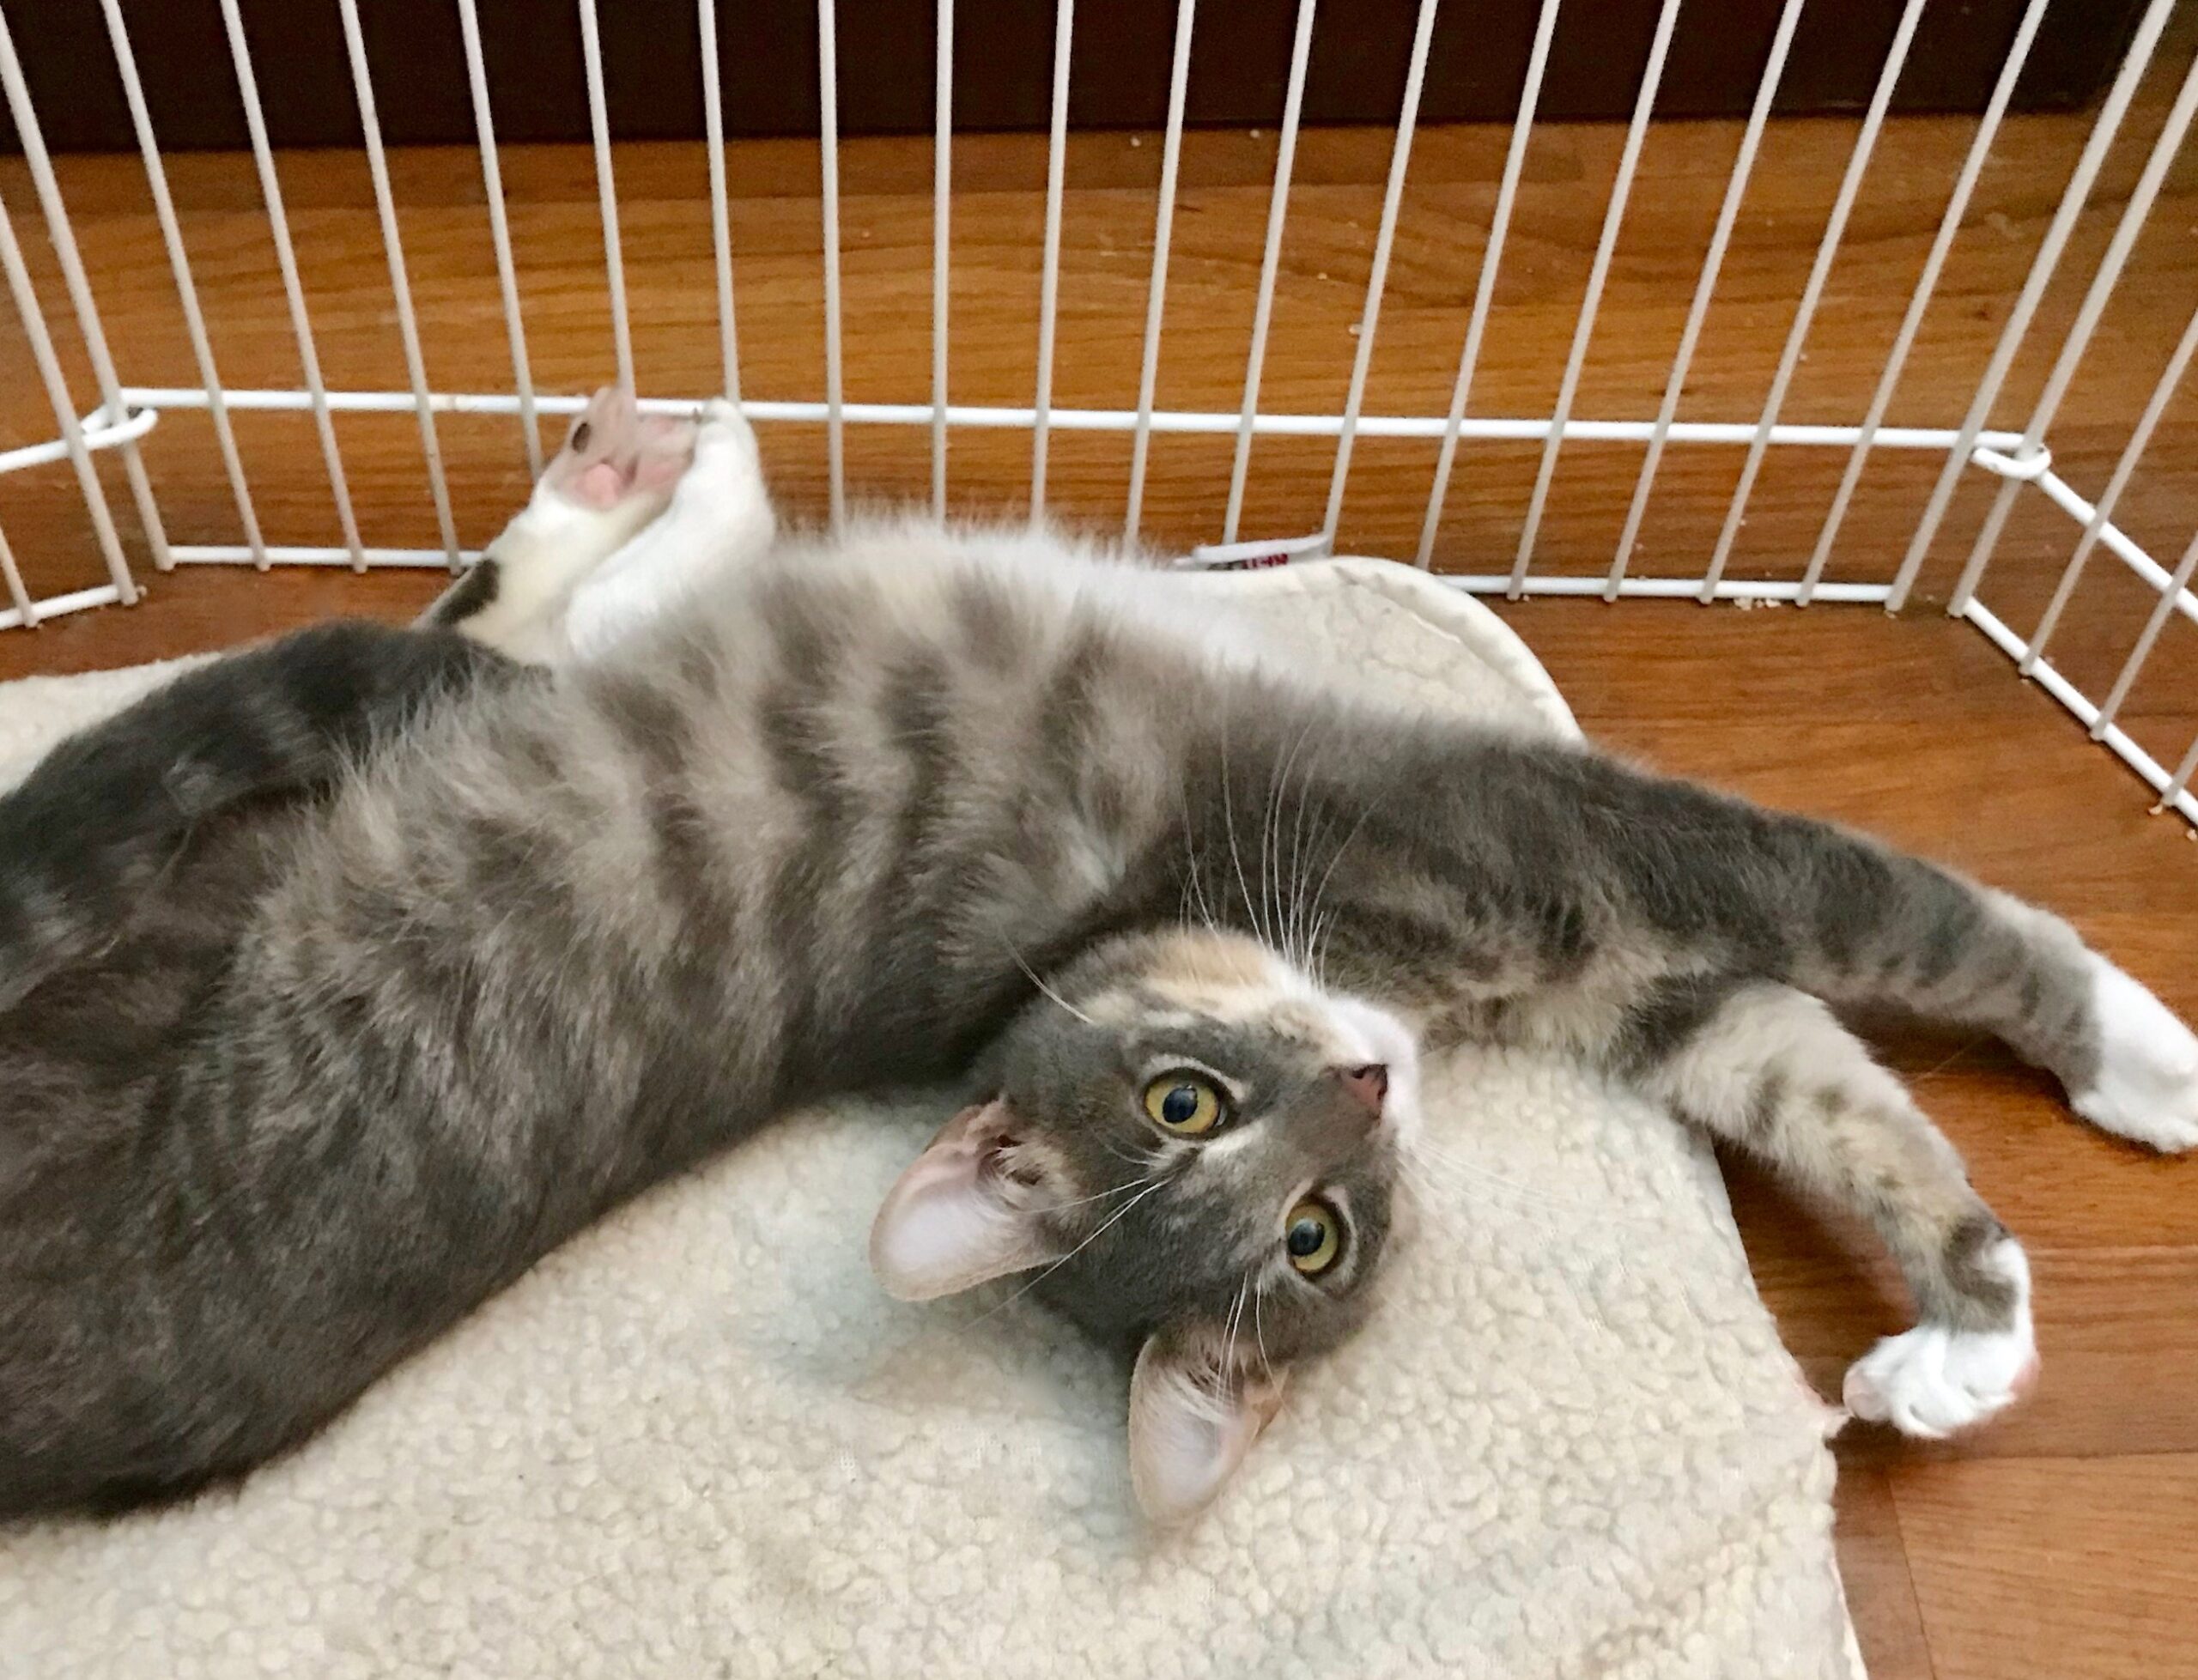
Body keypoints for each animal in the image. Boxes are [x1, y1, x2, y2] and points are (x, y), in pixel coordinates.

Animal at [0, 400, 2189, 1530]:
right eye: (1204, 1136)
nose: (1368, 1082)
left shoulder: (1574, 955)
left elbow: (1817, 1073)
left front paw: (1977, 1310)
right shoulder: (1515, 835)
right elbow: (1873, 908)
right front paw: (2127, 1036)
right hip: (234, 853)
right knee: (498, 639)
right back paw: (646, 491)